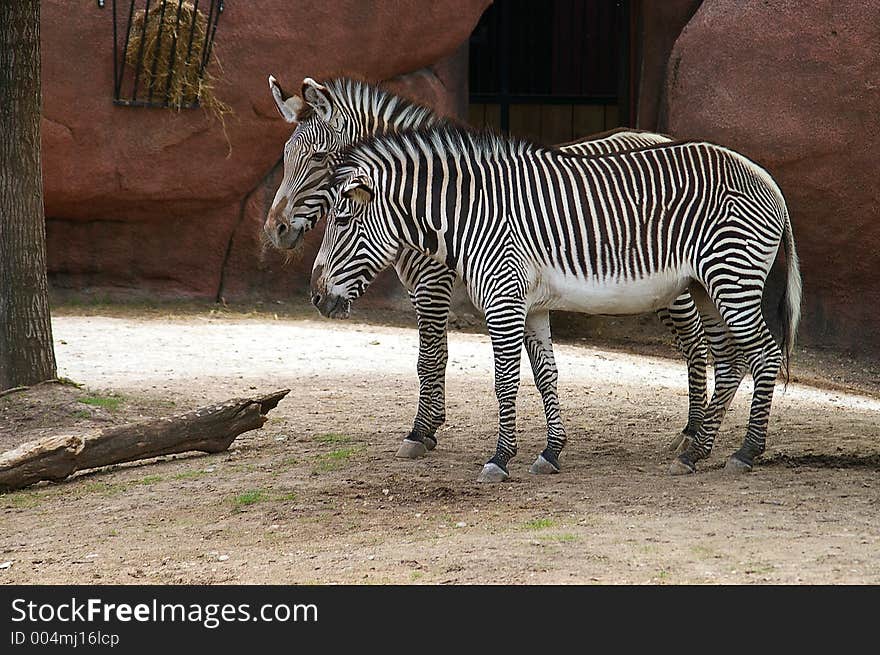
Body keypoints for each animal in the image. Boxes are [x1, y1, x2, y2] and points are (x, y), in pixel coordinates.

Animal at [262, 74, 708, 468]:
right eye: (285, 156)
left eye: (319, 158)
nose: (275, 230)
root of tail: (658, 138)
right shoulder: (422, 286)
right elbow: (437, 355)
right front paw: (432, 427)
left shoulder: (434, 285)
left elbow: (430, 356)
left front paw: (421, 432)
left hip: (673, 284)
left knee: (695, 340)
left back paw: (691, 432)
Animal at [312, 121, 800, 482]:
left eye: (342, 219)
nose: (316, 297)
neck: (472, 215)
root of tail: (767, 178)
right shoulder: (531, 305)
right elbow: (546, 376)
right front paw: (551, 451)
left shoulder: (502, 298)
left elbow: (504, 381)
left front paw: (499, 458)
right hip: (707, 286)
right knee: (731, 360)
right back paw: (695, 452)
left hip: (731, 277)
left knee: (764, 356)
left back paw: (745, 452)